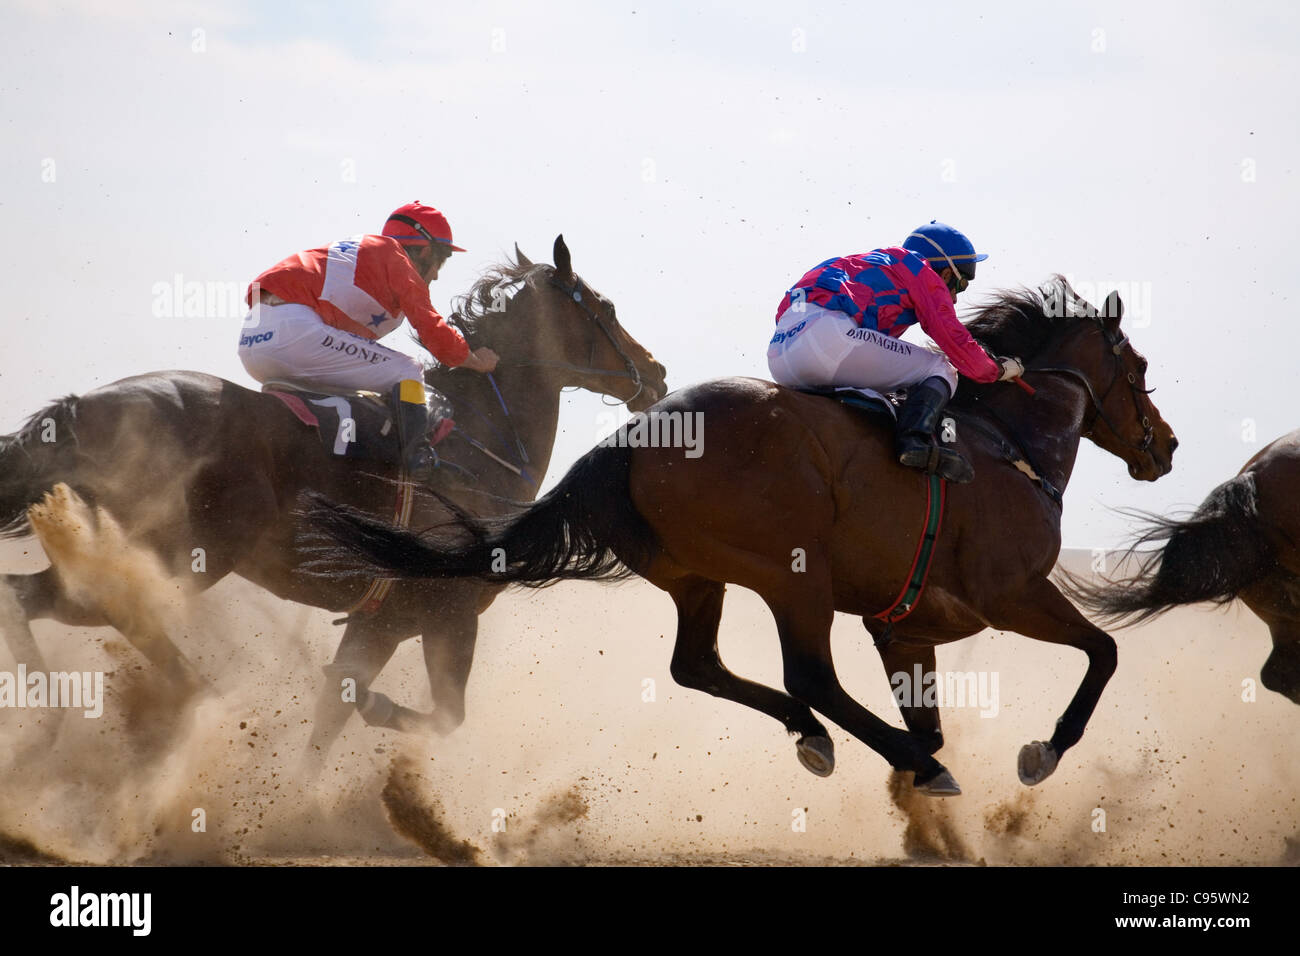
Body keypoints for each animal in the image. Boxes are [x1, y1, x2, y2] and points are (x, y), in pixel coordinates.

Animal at [0, 238, 665, 770]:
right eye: (605, 307)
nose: (656, 372)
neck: (479, 444)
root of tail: (80, 408)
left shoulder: (382, 621)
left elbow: (330, 720)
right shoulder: (448, 613)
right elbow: (442, 716)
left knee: (26, 595)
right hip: (190, 551)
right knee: (109, 607)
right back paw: (186, 700)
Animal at [312, 274, 1180, 790]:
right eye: (1138, 369)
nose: (1165, 446)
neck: (1010, 441)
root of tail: (634, 435)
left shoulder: (909, 631)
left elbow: (933, 721)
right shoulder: (1014, 593)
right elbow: (1104, 653)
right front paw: (1042, 751)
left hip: (699, 578)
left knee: (699, 666)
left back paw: (820, 740)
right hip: (796, 574)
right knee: (809, 677)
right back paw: (865, 750)